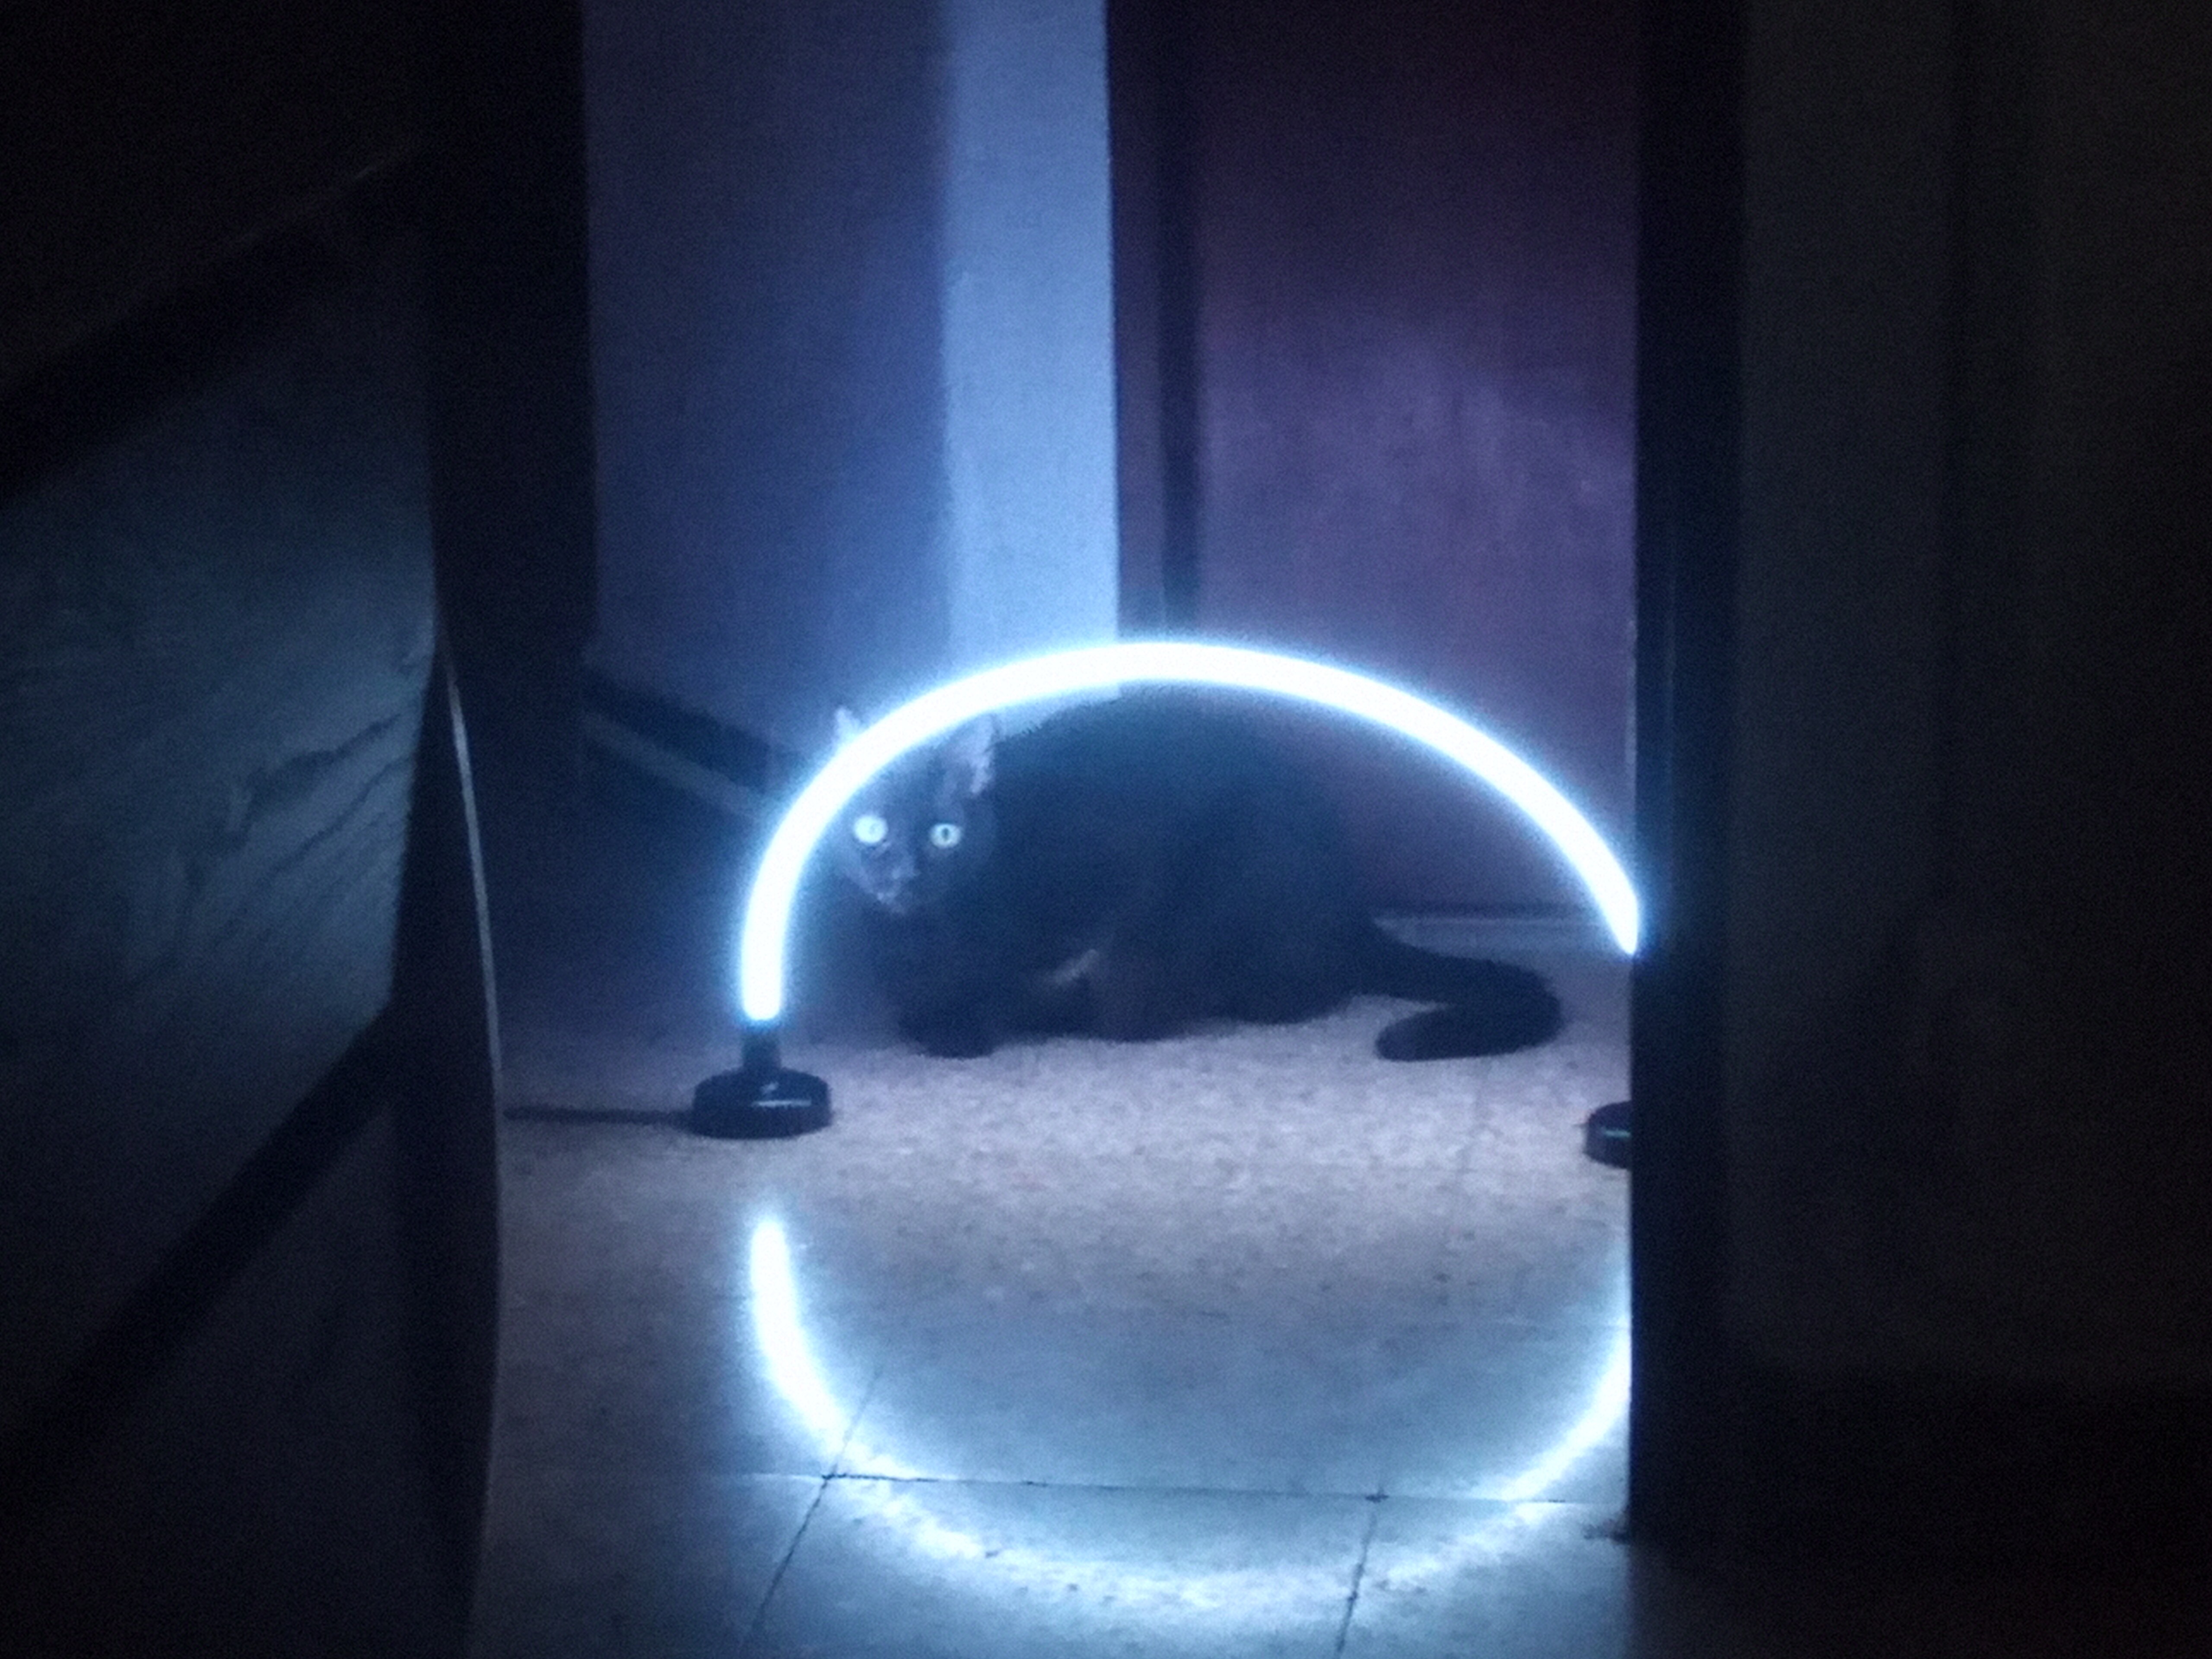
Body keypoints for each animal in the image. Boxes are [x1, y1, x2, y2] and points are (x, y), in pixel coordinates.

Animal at [826, 689, 1564, 1061]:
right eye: (872, 830)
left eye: (944, 835)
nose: (905, 876)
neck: (928, 936)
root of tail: (1351, 907)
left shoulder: (1109, 875)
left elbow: (1023, 988)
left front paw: (976, 1025)